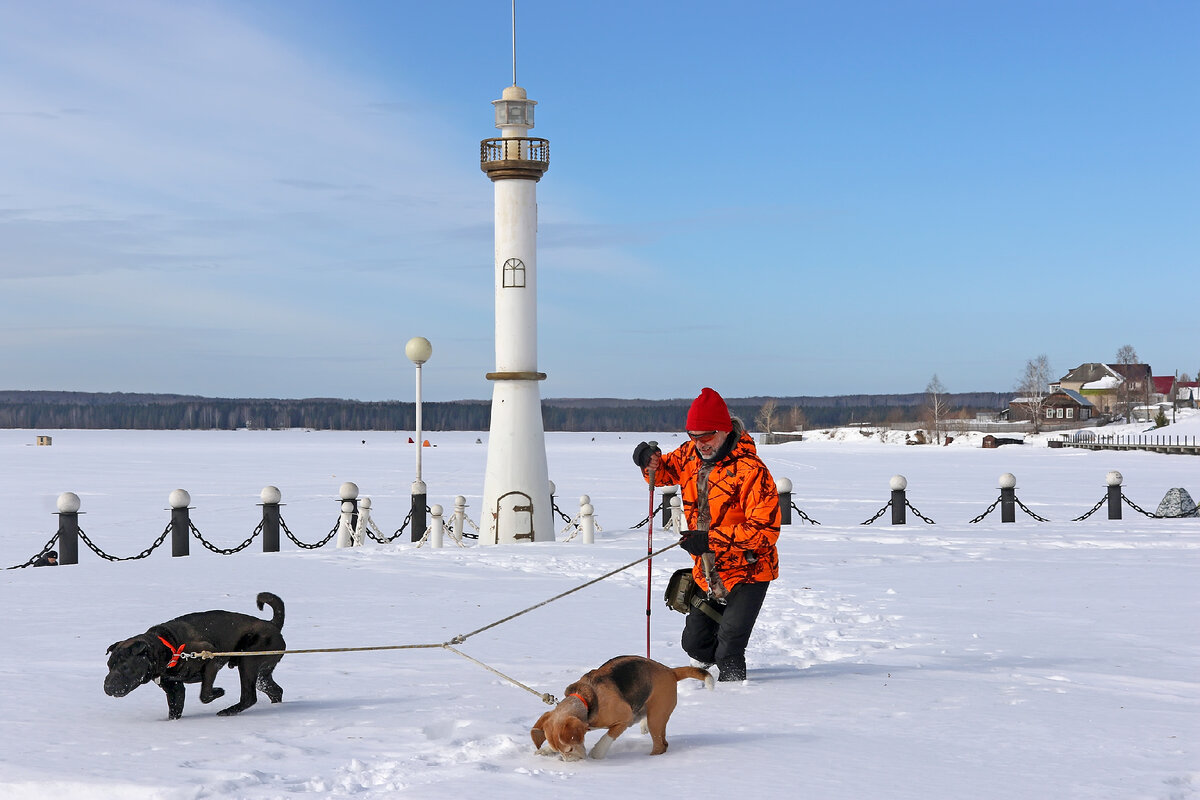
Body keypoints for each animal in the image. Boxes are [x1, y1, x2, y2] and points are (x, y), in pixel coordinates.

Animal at [104, 594, 286, 719]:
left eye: (125, 667)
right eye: (109, 665)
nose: (107, 687)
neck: (169, 647)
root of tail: (273, 624)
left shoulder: (212, 659)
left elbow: (204, 694)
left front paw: (218, 691)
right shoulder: (174, 687)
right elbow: (175, 709)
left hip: (247, 661)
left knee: (249, 697)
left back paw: (228, 711)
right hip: (261, 674)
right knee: (275, 690)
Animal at [528, 657, 710, 762]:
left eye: (570, 749)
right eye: (560, 751)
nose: (569, 762)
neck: (585, 700)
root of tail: (669, 671)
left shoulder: (625, 718)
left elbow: (607, 737)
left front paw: (597, 753)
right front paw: (545, 750)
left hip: (656, 718)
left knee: (661, 745)